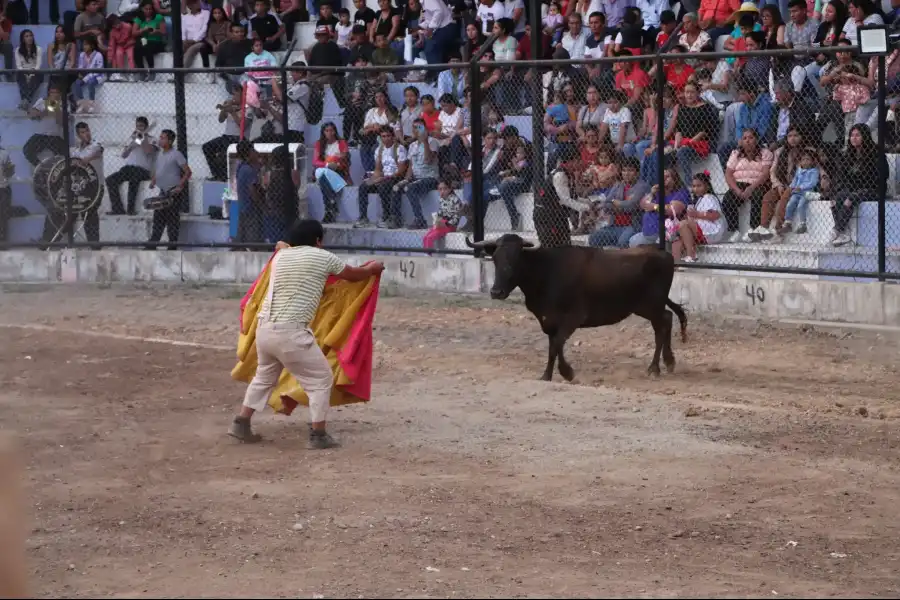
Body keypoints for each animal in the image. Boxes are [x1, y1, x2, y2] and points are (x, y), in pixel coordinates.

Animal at [464, 234, 688, 380]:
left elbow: (556, 344)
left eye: (516, 258)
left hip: (651, 305)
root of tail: (663, 254)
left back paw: (654, 368)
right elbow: (553, 346)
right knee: (667, 319)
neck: (546, 271)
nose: (496, 292)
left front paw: (565, 373)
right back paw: (668, 362)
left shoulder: (573, 317)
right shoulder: (548, 320)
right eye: (495, 258)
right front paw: (549, 375)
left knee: (662, 325)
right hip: (646, 307)